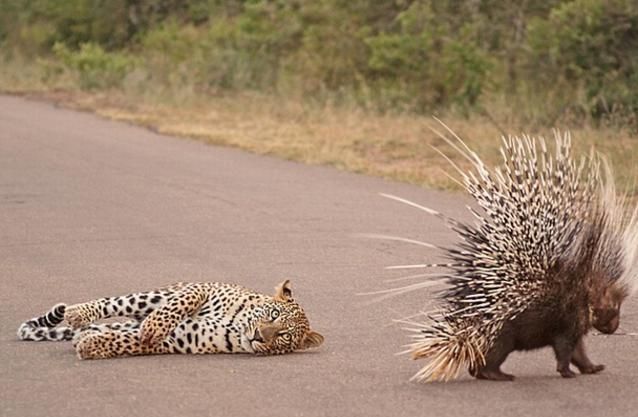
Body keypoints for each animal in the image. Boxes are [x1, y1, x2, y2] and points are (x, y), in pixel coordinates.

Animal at [16, 278, 324, 360]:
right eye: (273, 314)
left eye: (283, 336)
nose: (259, 335)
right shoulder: (202, 288)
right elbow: (178, 305)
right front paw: (154, 325)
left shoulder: (183, 339)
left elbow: (130, 342)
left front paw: (91, 346)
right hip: (153, 295)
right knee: (115, 303)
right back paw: (78, 313)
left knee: (117, 327)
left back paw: (86, 334)